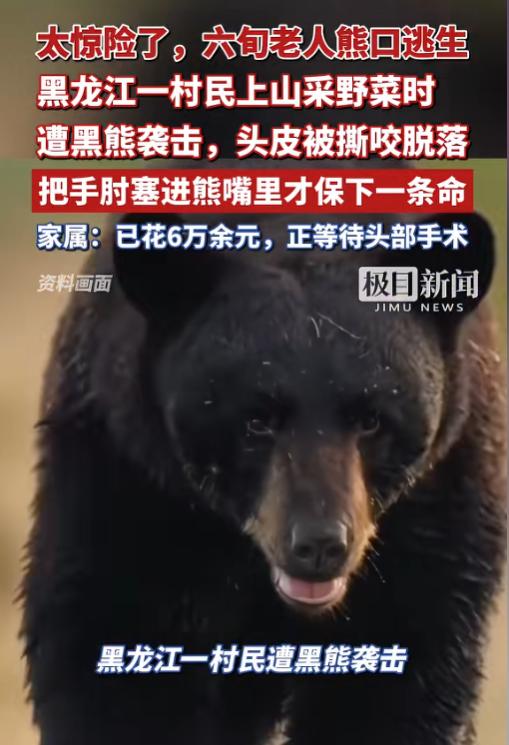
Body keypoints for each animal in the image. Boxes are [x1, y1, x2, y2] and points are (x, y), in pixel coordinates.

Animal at [21, 212, 505, 745]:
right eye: (256, 419)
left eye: (372, 419)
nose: (319, 544)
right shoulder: (130, 473)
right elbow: (110, 646)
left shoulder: (438, 504)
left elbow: (403, 679)